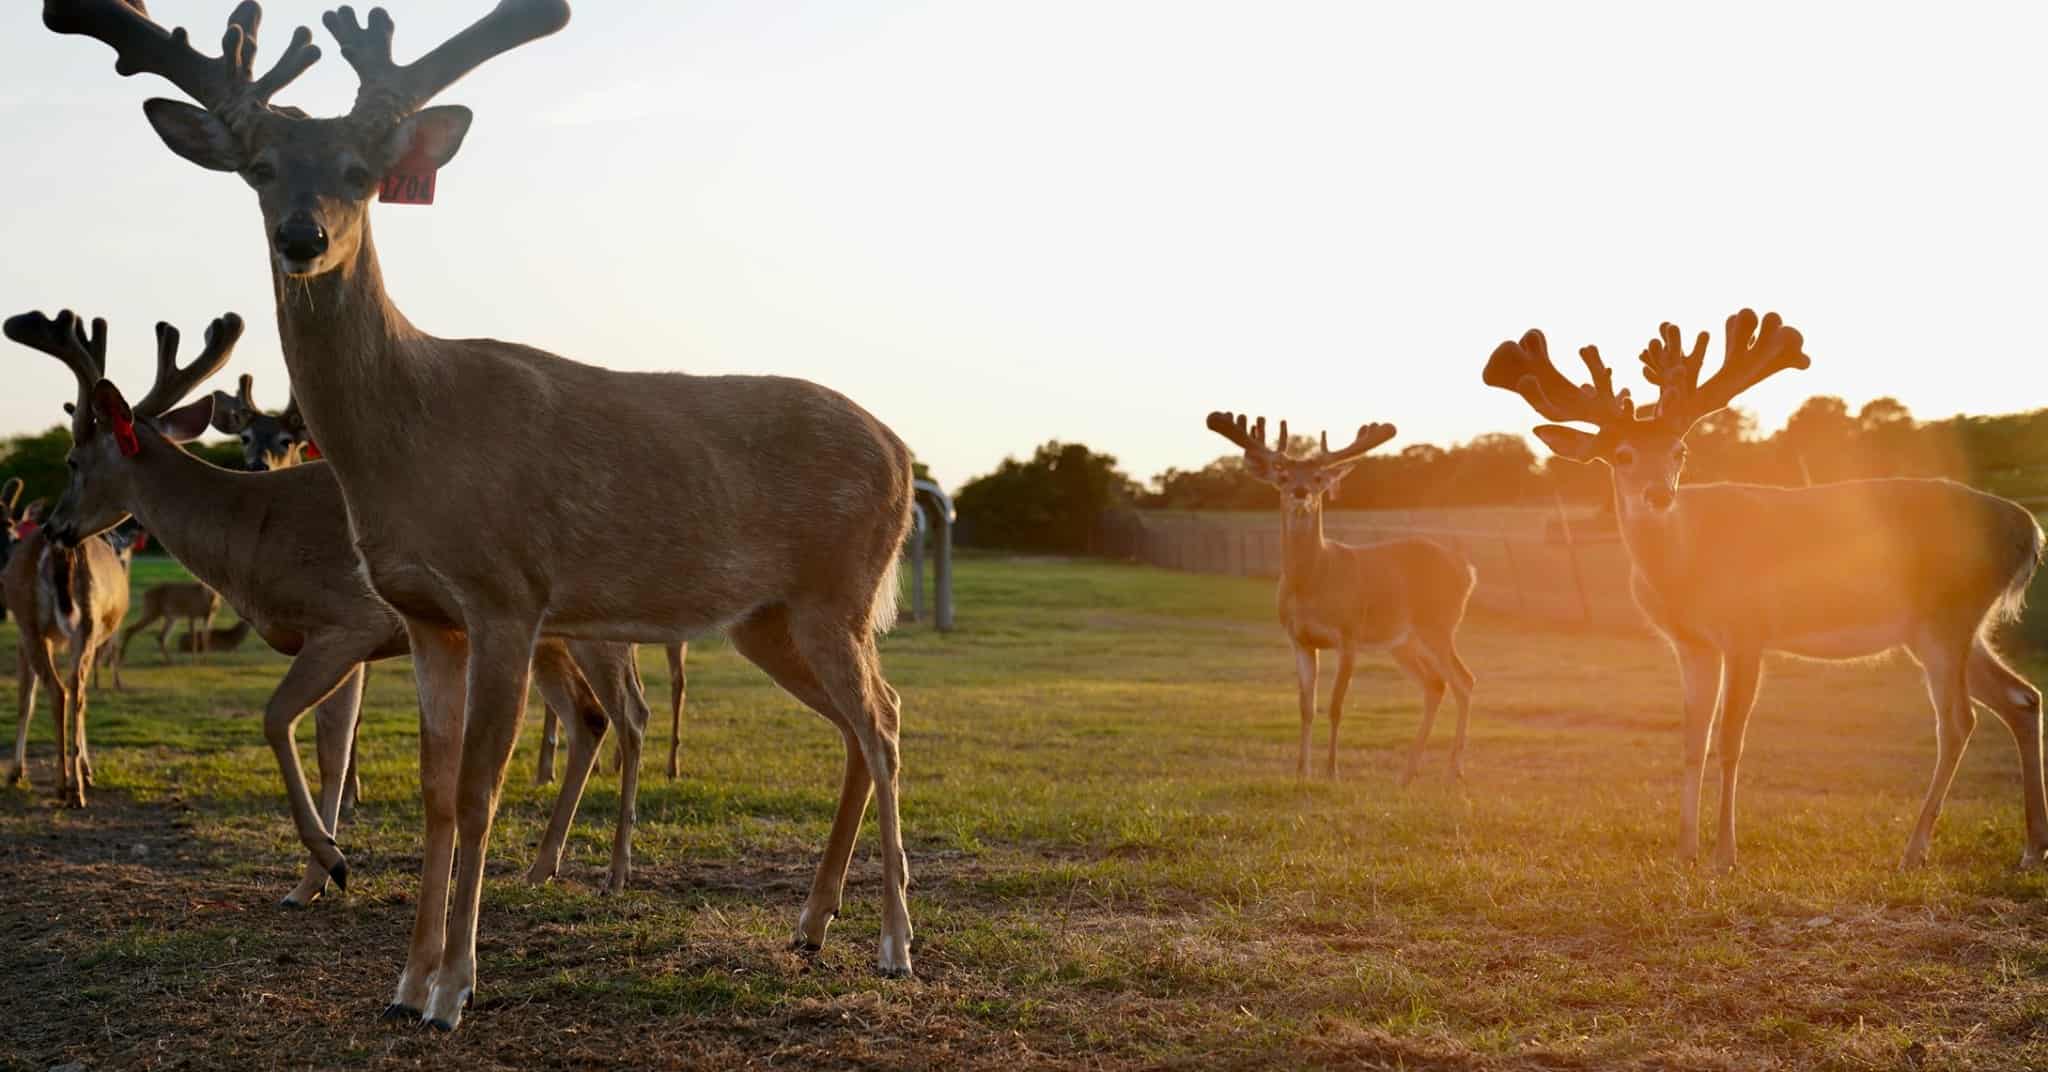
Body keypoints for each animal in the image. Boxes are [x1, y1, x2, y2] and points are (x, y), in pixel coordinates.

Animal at [11, 309, 659, 905]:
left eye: (72, 461)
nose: (56, 526)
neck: (253, 531)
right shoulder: (351, 646)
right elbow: (333, 751)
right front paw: (311, 881)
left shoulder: (348, 620)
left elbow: (277, 719)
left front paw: (332, 861)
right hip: (541, 637)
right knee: (588, 718)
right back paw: (541, 866)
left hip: (596, 625)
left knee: (628, 714)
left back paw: (617, 872)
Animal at [1205, 413, 1479, 783]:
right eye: (1282, 475)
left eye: (1319, 477)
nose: (1301, 492)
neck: (1311, 584)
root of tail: (1467, 569)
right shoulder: (1300, 639)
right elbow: (1306, 706)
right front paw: (1301, 771)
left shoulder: (1349, 634)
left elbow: (1336, 705)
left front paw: (1332, 771)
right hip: (1402, 641)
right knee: (1436, 684)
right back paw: (1407, 774)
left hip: (1438, 623)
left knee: (1464, 680)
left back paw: (1453, 770)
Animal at [1484, 309, 2046, 873]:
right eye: (1621, 454)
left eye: (1679, 450)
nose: (1659, 494)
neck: (1687, 563)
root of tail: (2028, 529)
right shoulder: (1692, 644)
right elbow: (1692, 738)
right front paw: (1684, 850)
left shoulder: (1747, 630)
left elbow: (1731, 739)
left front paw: (1723, 856)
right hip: (1949, 627)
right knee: (2022, 697)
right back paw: (2030, 849)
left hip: (1945, 619)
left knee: (1958, 721)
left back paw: (1915, 850)